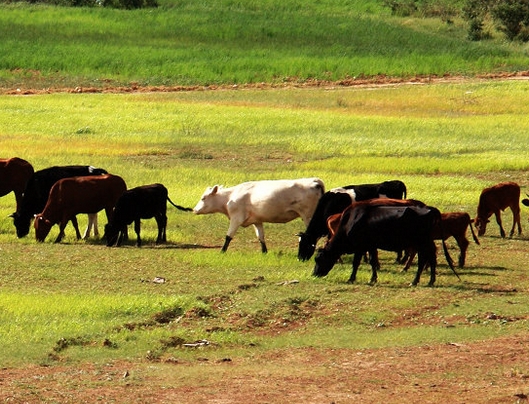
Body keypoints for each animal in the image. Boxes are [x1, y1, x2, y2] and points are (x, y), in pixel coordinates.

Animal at [193, 178, 324, 252]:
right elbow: (261, 237)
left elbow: (228, 236)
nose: (194, 210)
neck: (231, 196)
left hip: (308, 216)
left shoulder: (236, 219)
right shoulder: (257, 221)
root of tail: (315, 181)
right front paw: (264, 252)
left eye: (203, 198)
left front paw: (222, 251)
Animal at [312, 199, 456, 288]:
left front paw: (351, 278)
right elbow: (373, 261)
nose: (314, 274)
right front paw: (373, 278)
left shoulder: (360, 246)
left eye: (318, 259)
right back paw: (430, 280)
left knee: (423, 260)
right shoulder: (370, 246)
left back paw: (415, 281)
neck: (350, 221)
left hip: (421, 242)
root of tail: (430, 209)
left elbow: (356, 263)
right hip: (425, 242)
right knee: (431, 258)